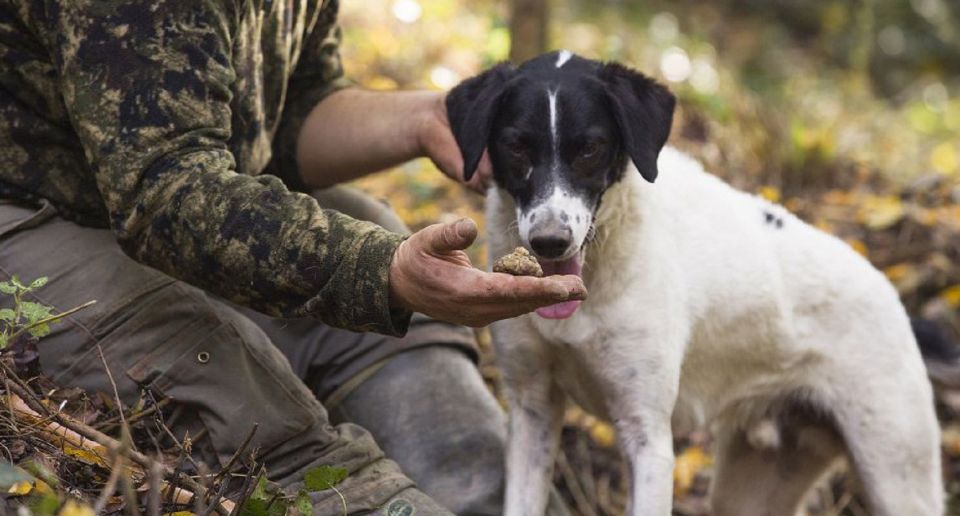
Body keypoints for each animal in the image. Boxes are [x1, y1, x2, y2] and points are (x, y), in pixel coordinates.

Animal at [446, 52, 940, 516]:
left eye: (589, 149)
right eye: (515, 147)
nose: (550, 242)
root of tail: (894, 299)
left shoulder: (647, 434)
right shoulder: (533, 411)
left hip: (897, 476)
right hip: (751, 489)